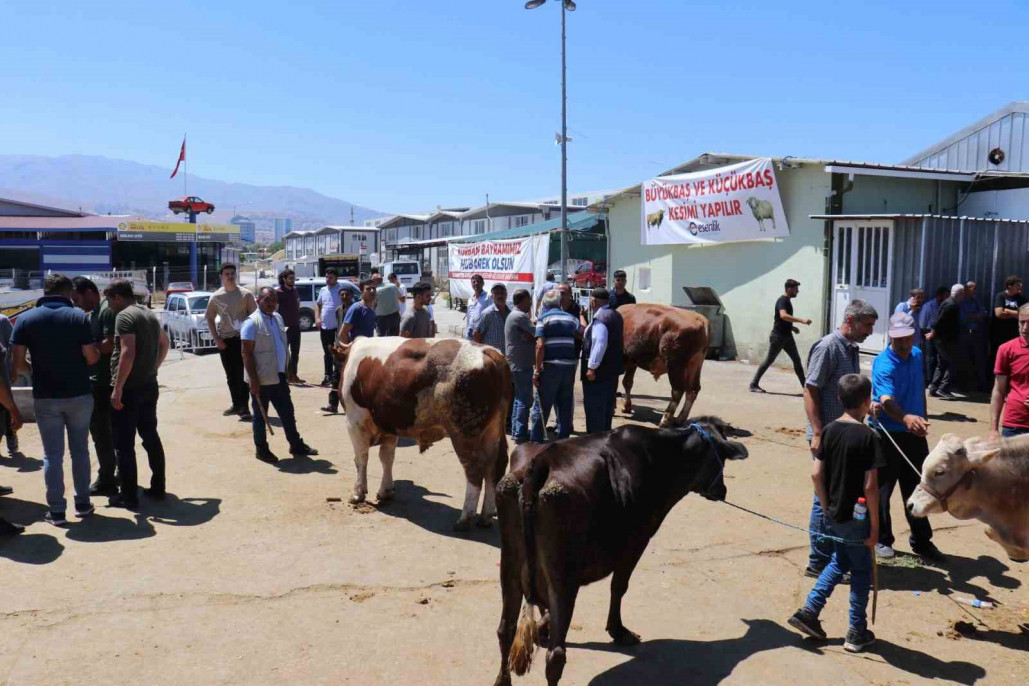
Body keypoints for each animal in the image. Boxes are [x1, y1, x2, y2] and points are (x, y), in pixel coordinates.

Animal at [339, 335, 512, 530]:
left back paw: (465, 519)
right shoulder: (389, 426)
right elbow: (387, 458)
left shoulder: (354, 420)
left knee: (474, 471)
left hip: (464, 433)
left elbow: (361, 458)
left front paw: (358, 493)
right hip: (493, 430)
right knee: (494, 467)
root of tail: (489, 351)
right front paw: (386, 491)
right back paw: (486, 516)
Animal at [491, 415, 749, 682]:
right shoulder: (637, 541)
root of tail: (541, 462)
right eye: (722, 456)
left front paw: (542, 627)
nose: (722, 490)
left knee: (505, 631)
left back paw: (503, 679)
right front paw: (618, 631)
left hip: (510, 566)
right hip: (563, 576)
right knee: (556, 655)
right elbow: (619, 586)